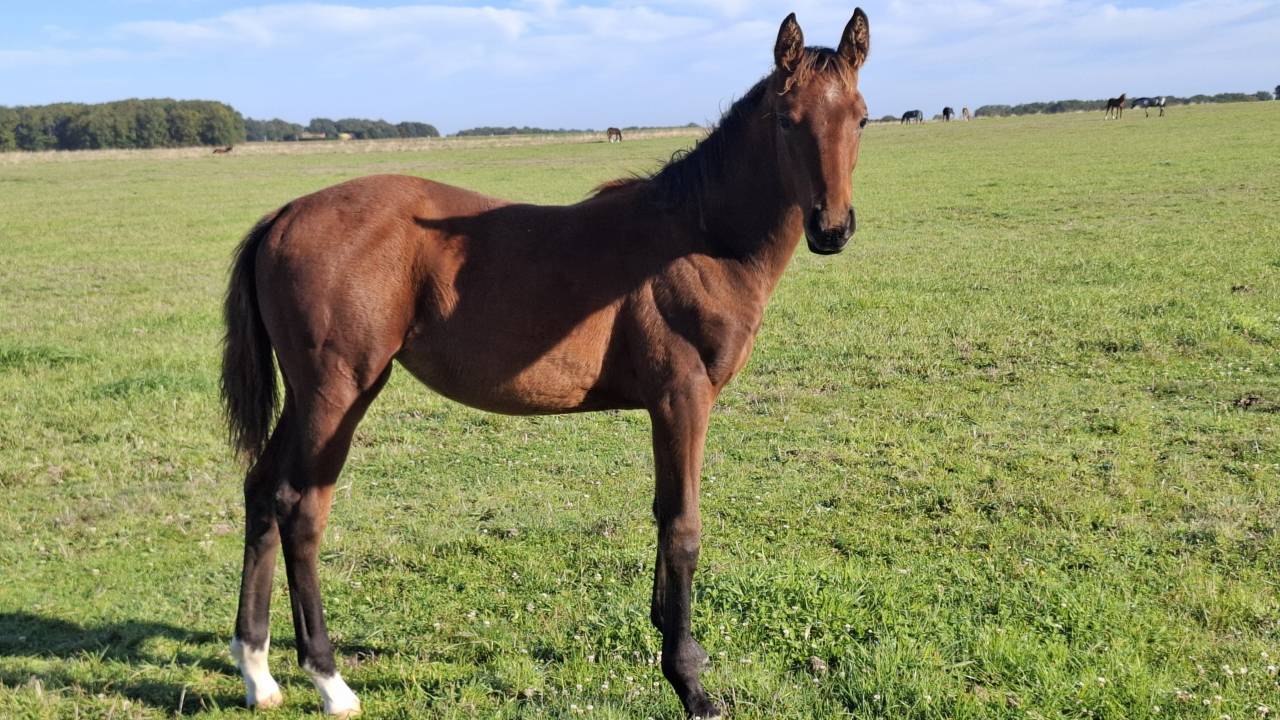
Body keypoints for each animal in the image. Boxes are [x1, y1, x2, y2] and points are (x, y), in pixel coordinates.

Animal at [222, 9, 872, 718]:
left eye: (862, 118)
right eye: (786, 119)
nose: (831, 228)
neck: (699, 240)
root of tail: (285, 214)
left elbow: (661, 514)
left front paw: (672, 638)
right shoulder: (682, 398)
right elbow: (683, 528)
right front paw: (689, 682)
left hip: (308, 395)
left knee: (260, 492)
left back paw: (257, 670)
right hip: (338, 392)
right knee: (300, 508)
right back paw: (329, 679)